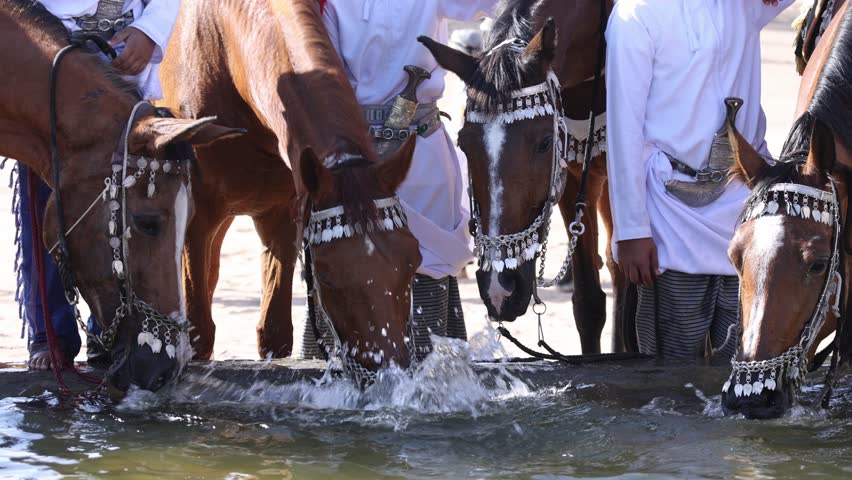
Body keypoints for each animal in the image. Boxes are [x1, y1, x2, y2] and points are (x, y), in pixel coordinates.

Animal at [158, 0, 421, 371]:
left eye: (413, 262)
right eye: (325, 276)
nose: (388, 367)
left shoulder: (285, 211)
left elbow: (275, 334)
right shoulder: (198, 216)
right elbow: (199, 334)